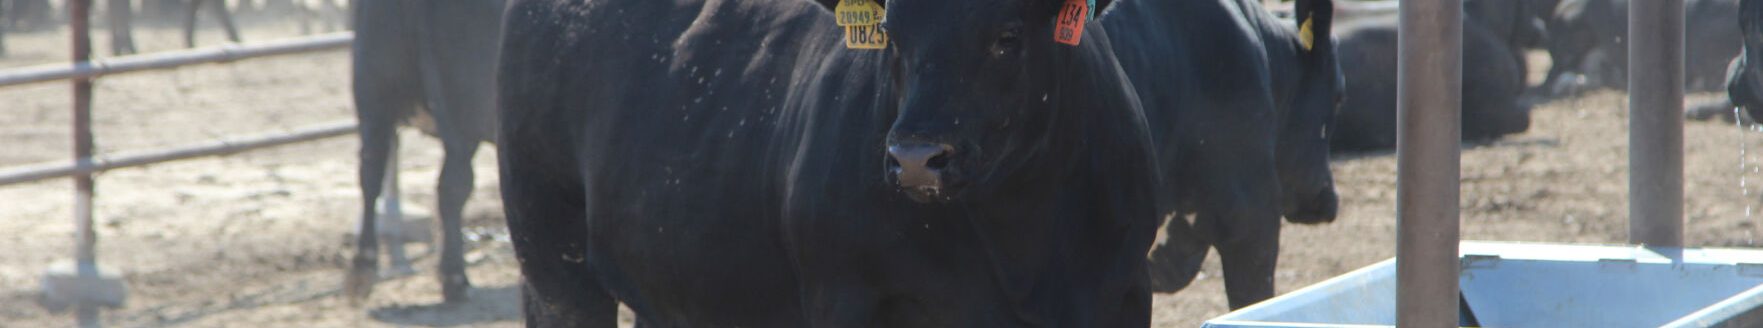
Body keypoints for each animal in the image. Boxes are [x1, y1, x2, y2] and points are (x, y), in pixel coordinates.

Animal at [336, 0, 504, 305]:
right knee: (453, 187)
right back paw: (454, 278)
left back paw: (363, 266)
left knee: (370, 174)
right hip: (464, 116)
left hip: (373, 98)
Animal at [497, 0, 1163, 326]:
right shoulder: (844, 296)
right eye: (892, 34)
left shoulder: (1124, 292)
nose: (915, 158)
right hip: (552, 260)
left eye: (1007, 36)